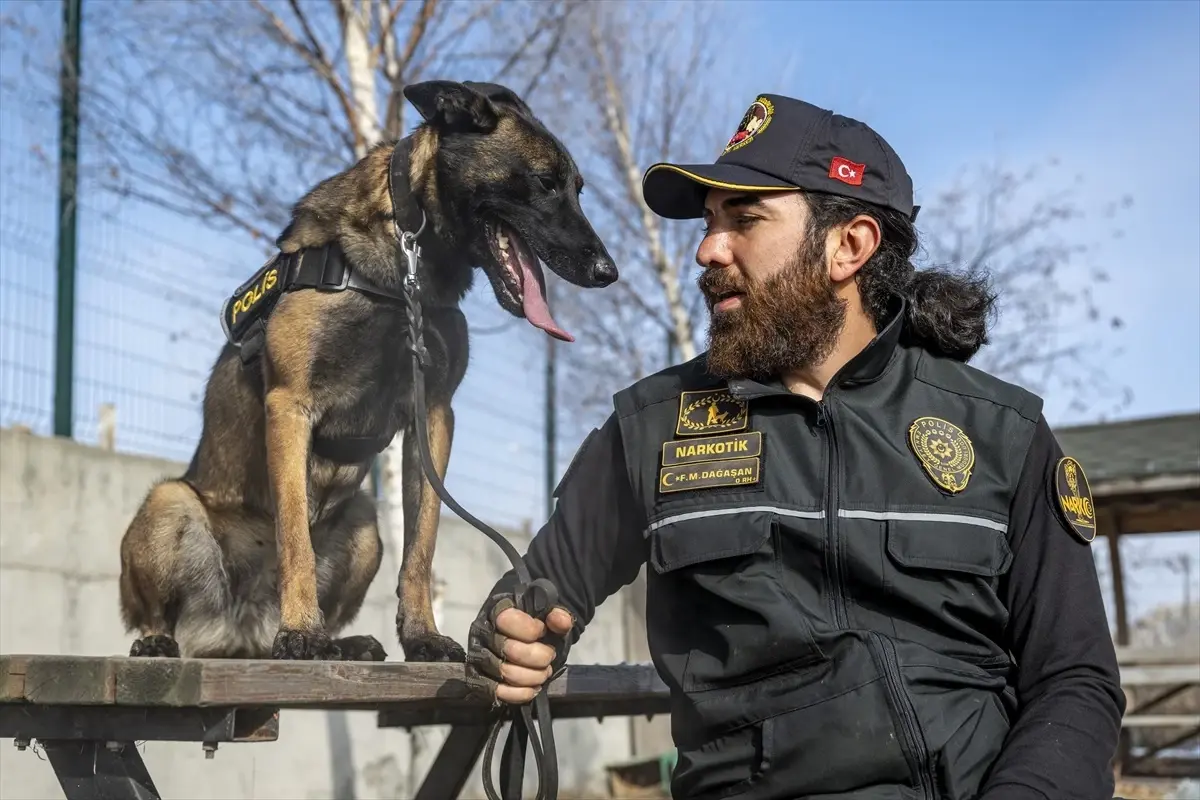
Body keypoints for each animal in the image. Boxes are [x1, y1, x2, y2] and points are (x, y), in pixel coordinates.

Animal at [117, 81, 619, 662]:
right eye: (545, 182)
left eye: (578, 189)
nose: (608, 271)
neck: (403, 265)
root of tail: (244, 638)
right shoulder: (289, 404)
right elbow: (294, 534)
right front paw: (300, 630)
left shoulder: (433, 416)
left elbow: (422, 545)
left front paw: (421, 635)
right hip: (169, 503)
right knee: (160, 613)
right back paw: (166, 640)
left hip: (364, 524)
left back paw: (346, 642)